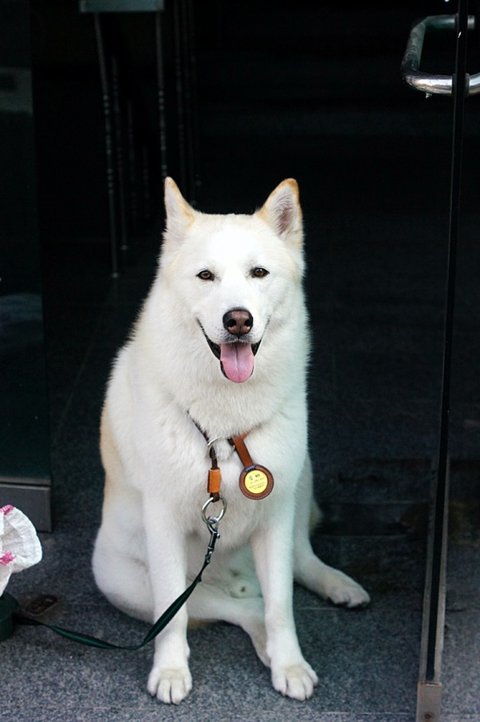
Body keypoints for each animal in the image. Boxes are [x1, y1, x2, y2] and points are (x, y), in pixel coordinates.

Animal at [92, 177, 370, 704]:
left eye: (258, 273)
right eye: (206, 276)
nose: (237, 319)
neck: (223, 427)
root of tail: (236, 580)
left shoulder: (276, 514)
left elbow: (282, 604)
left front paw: (290, 663)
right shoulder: (163, 525)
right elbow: (173, 614)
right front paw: (170, 671)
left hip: (299, 478)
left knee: (295, 567)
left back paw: (334, 586)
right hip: (123, 579)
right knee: (233, 608)